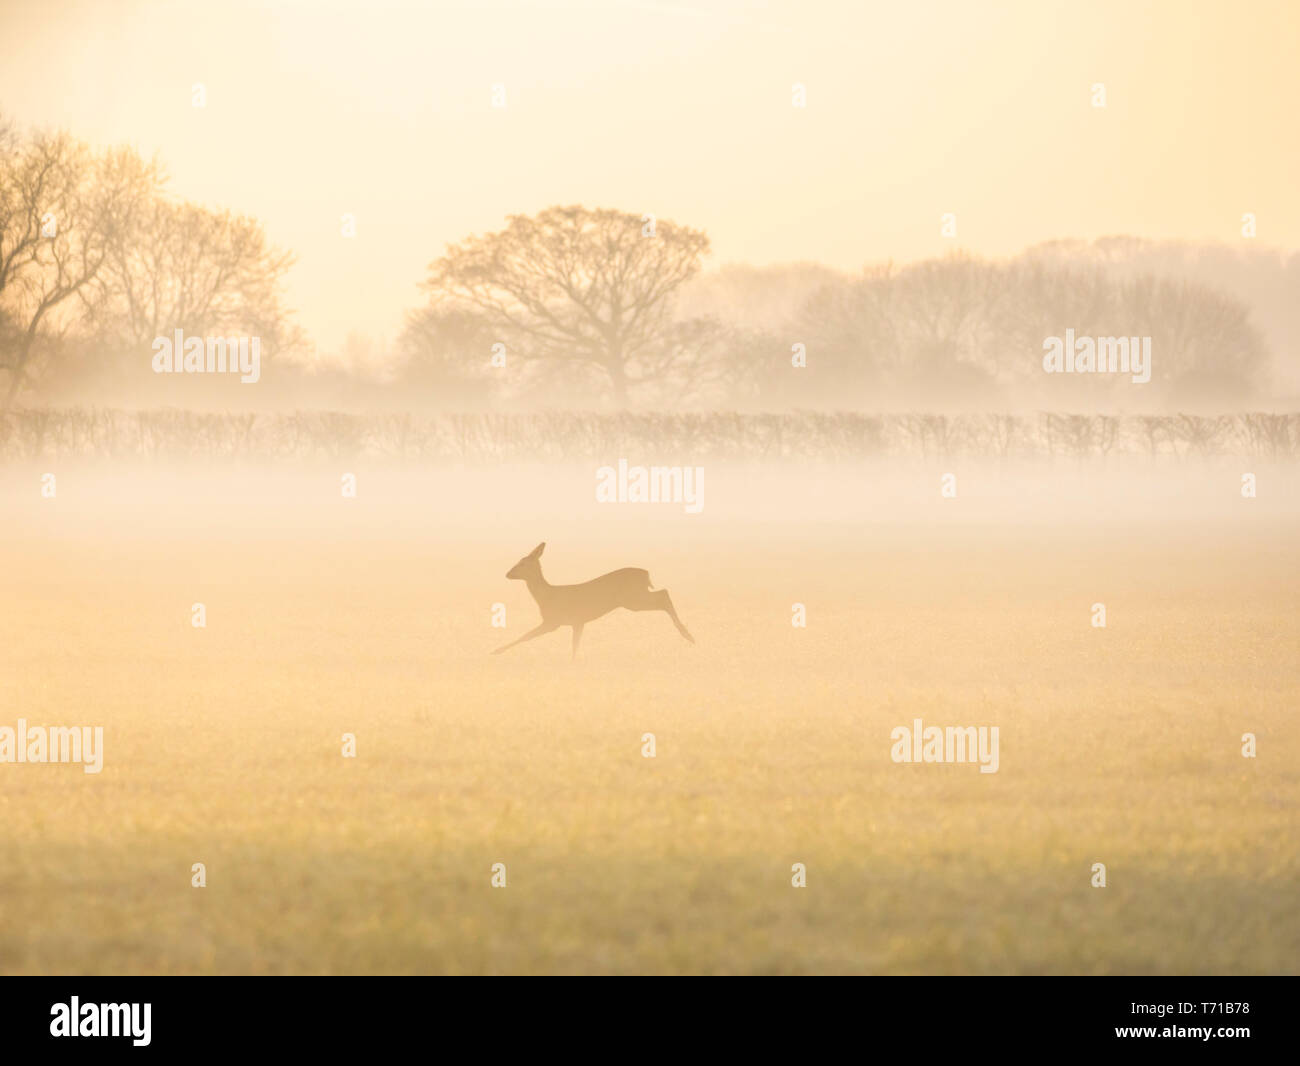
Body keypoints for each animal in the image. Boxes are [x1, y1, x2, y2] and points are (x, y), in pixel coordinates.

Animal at [488, 540, 691, 657]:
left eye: (522, 563)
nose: (508, 574)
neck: (547, 596)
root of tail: (646, 573)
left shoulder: (553, 622)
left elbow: (526, 635)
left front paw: (496, 651)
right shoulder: (578, 622)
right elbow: (575, 645)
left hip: (632, 599)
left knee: (663, 594)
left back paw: (687, 634)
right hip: (635, 597)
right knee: (663, 593)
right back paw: (687, 635)